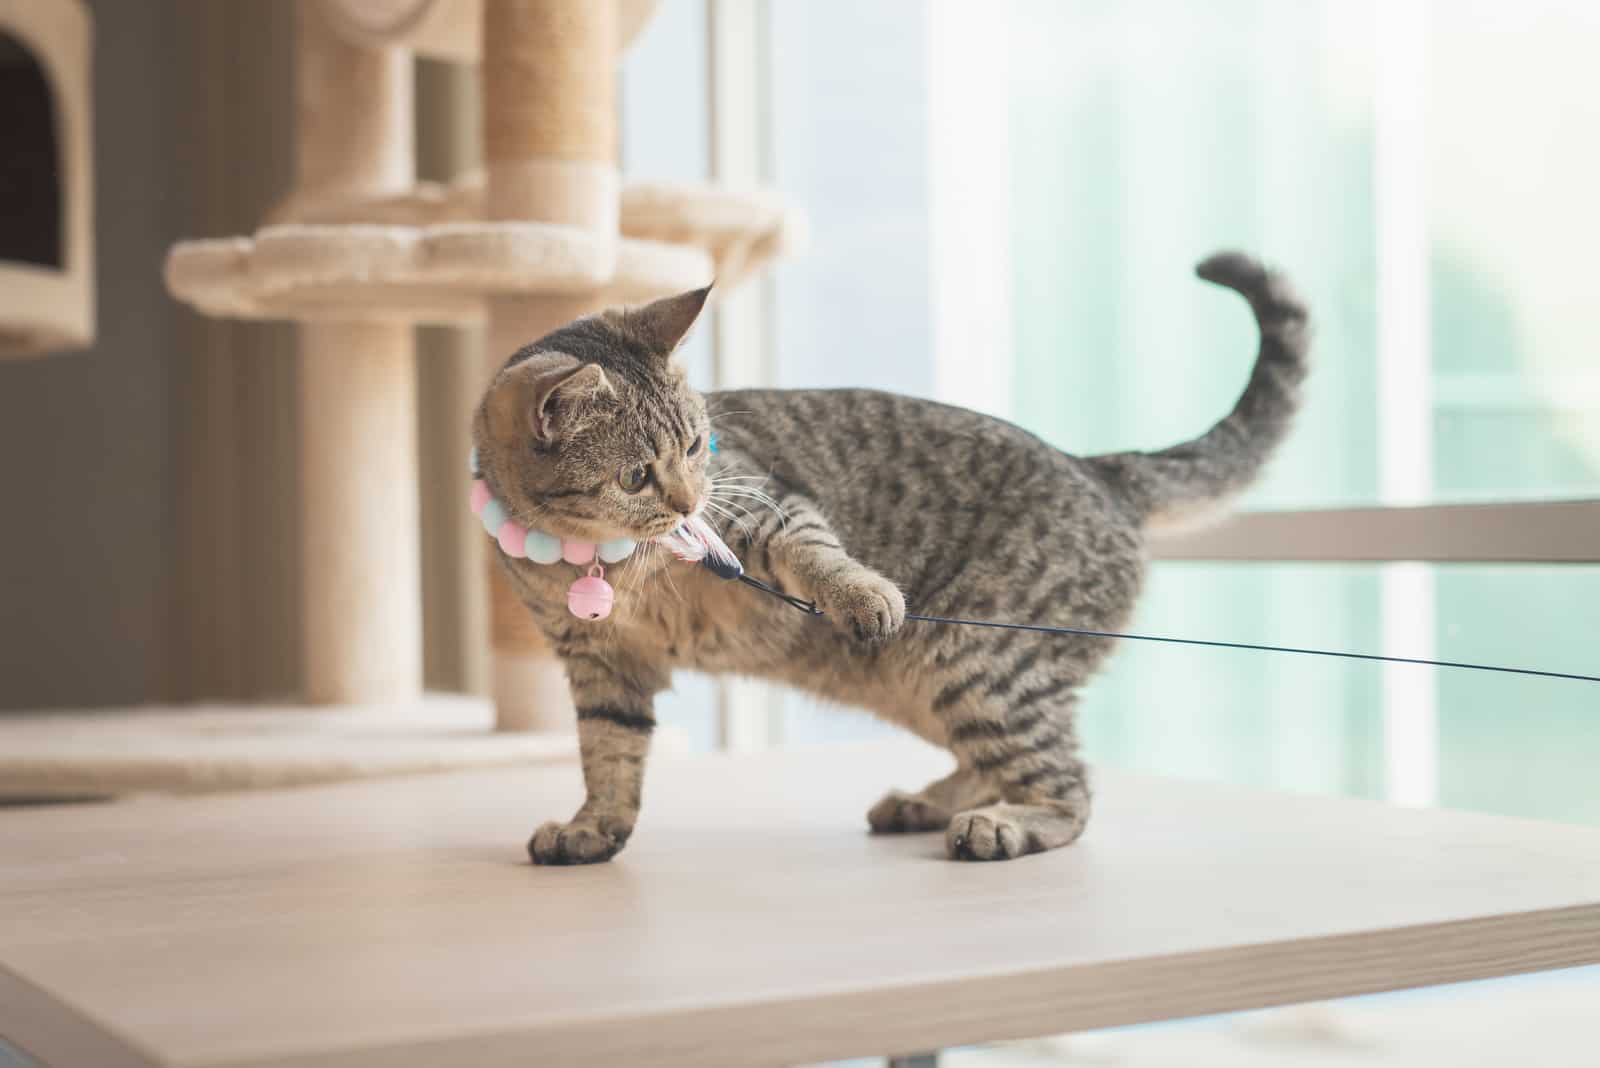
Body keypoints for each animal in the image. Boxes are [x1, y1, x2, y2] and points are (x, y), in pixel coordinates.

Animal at [467, 252, 1305, 869]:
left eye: (700, 445)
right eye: (637, 475)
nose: (689, 500)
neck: (601, 560)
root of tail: (1099, 468)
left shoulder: (767, 504)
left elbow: (820, 554)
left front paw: (863, 594)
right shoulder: (597, 662)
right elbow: (608, 753)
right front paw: (592, 828)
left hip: (976, 659)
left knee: (1069, 789)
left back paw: (1000, 823)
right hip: (940, 683)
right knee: (998, 762)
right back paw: (930, 803)